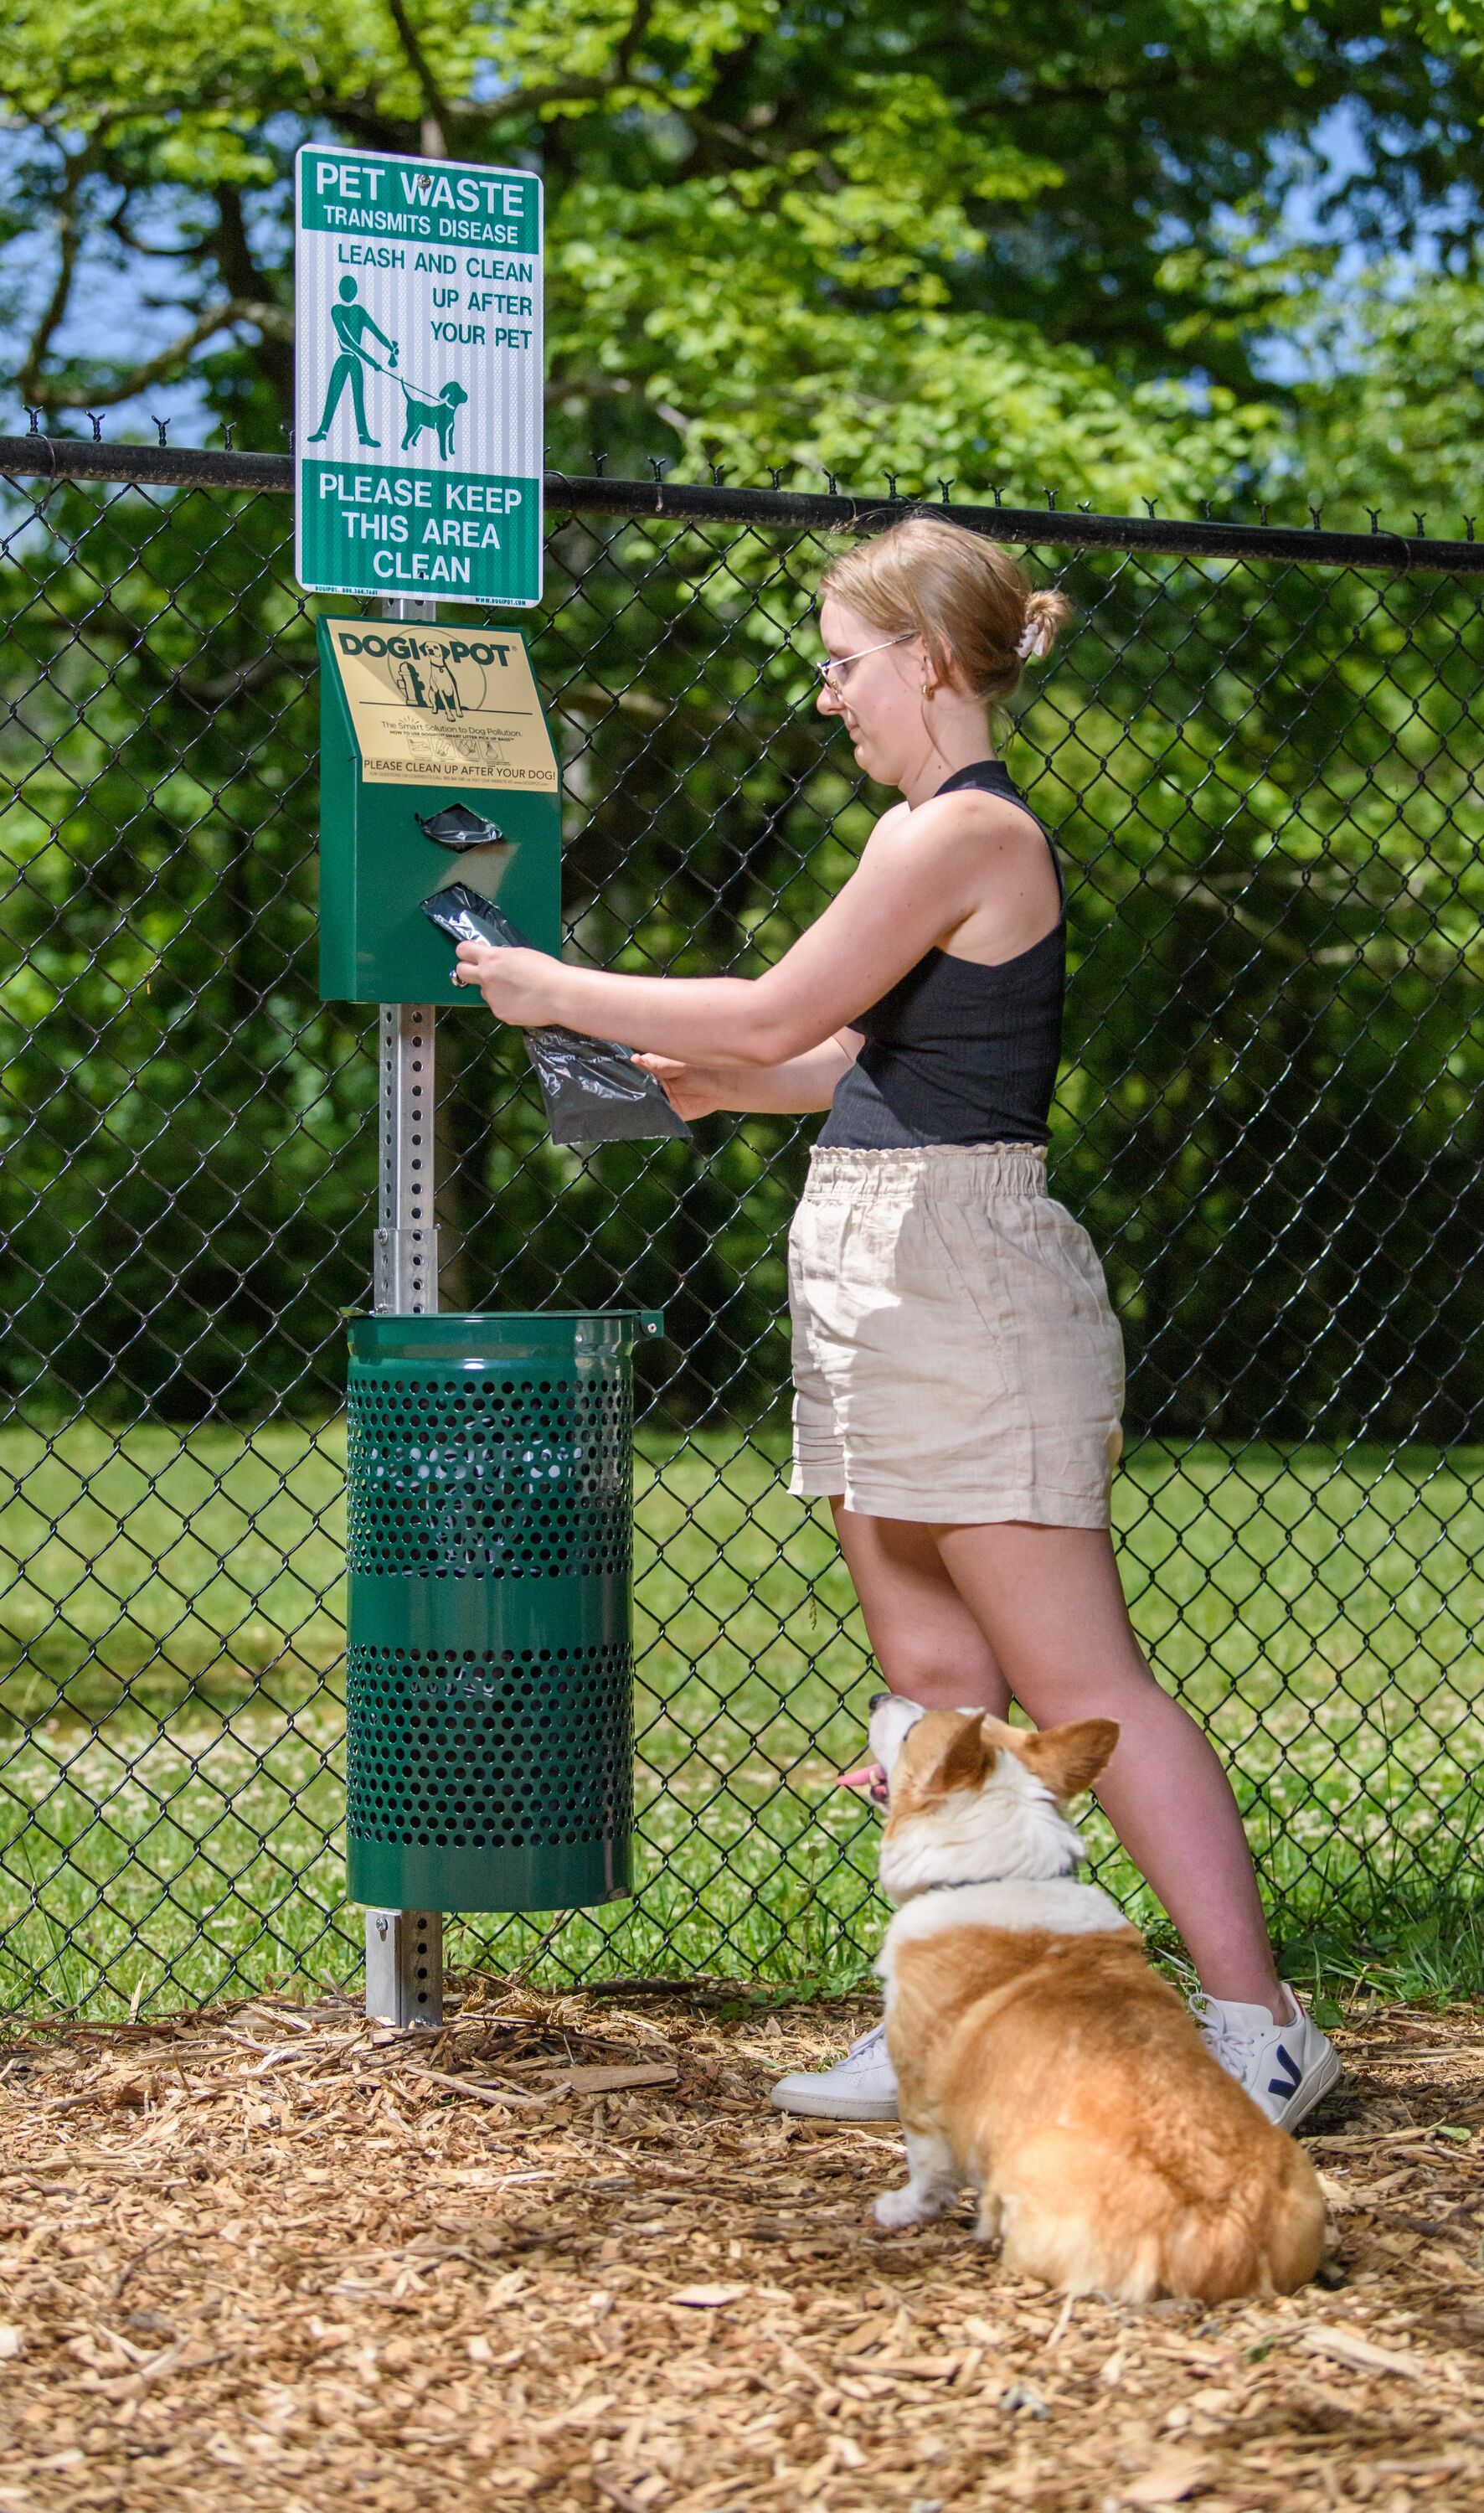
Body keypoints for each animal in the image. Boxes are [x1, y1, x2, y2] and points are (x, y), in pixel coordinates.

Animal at [863, 1699, 1326, 2302]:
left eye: (913, 1731)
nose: (875, 1700)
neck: (997, 1871)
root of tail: (1226, 2231)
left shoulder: (919, 2089)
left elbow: (926, 2167)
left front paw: (899, 2210)